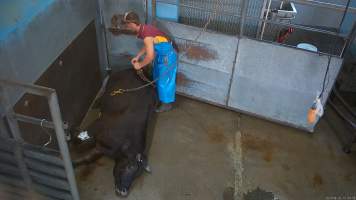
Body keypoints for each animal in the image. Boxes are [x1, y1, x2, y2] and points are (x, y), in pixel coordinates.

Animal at [73, 68, 156, 196]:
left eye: (137, 175)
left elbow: (88, 158)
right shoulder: (100, 124)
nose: (124, 192)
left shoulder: (102, 147)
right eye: (130, 167)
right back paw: (95, 103)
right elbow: (81, 137)